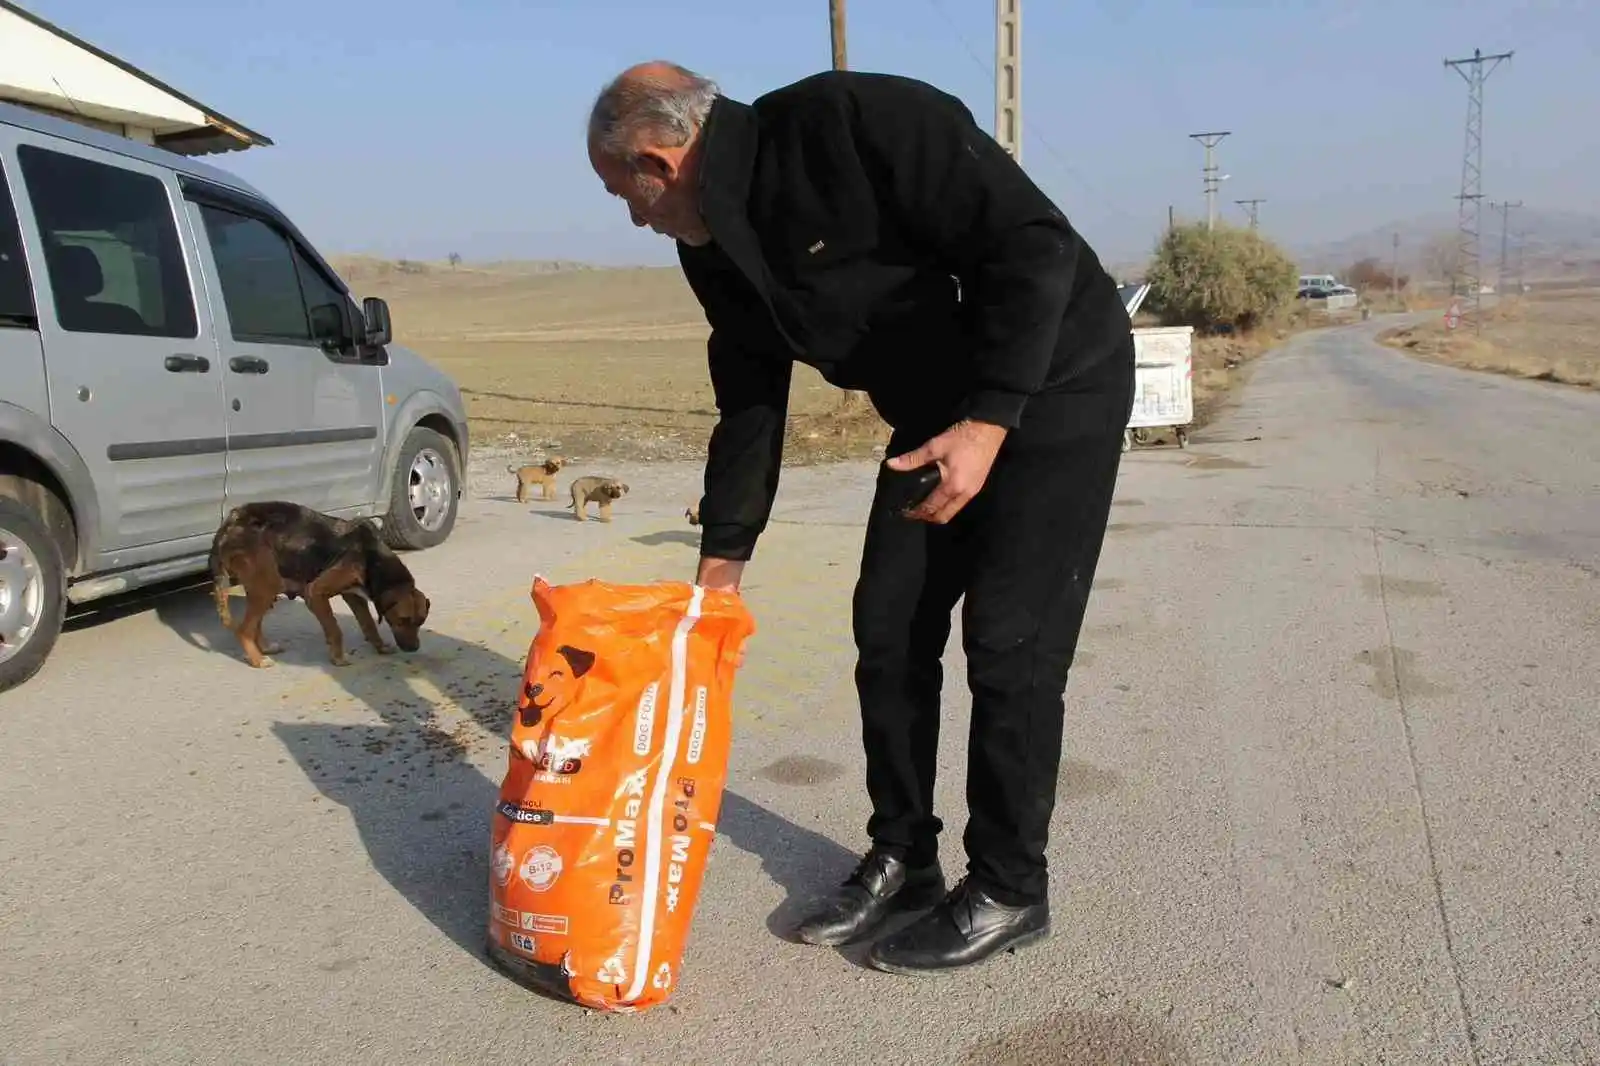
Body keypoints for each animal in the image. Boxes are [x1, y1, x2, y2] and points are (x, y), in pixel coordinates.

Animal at [206, 499, 435, 665]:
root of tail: (232, 520)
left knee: (255, 624)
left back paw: (264, 648)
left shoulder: (354, 596)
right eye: (402, 620)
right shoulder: (315, 593)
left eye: (420, 622)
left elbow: (369, 624)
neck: (372, 557)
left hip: (260, 585)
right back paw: (258, 660)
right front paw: (339, 658)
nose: (414, 648)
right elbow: (335, 629)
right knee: (244, 629)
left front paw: (380, 647)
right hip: (267, 585)